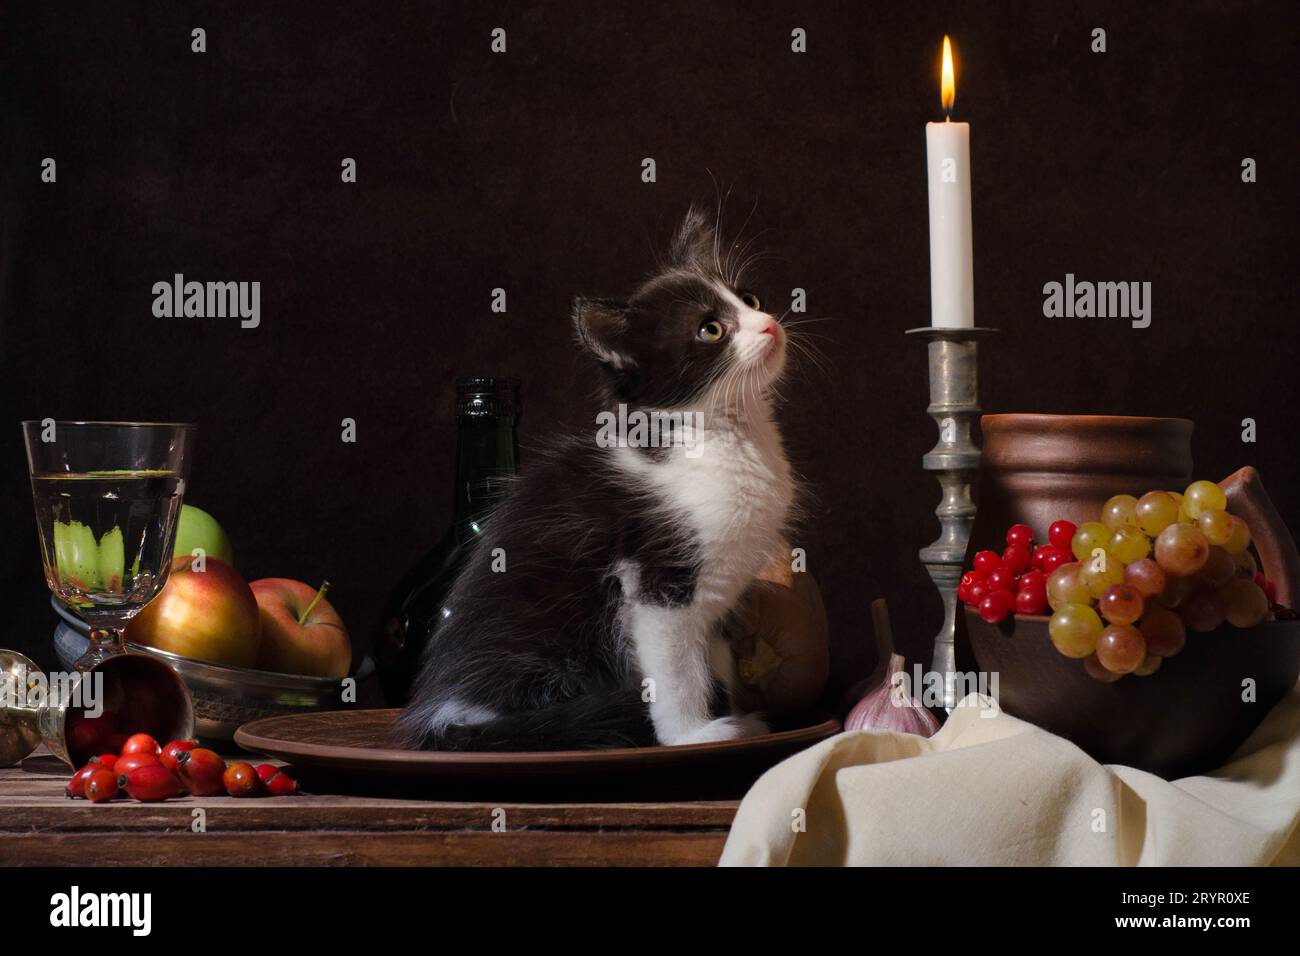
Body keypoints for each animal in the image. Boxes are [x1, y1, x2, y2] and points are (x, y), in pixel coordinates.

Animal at [395, 210, 795, 754]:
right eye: (711, 329)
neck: (722, 434)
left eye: (750, 300)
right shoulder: (656, 581)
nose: (769, 324)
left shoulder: (716, 601)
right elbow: (676, 669)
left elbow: (715, 659)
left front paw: (728, 714)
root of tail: (441, 715)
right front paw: (692, 734)